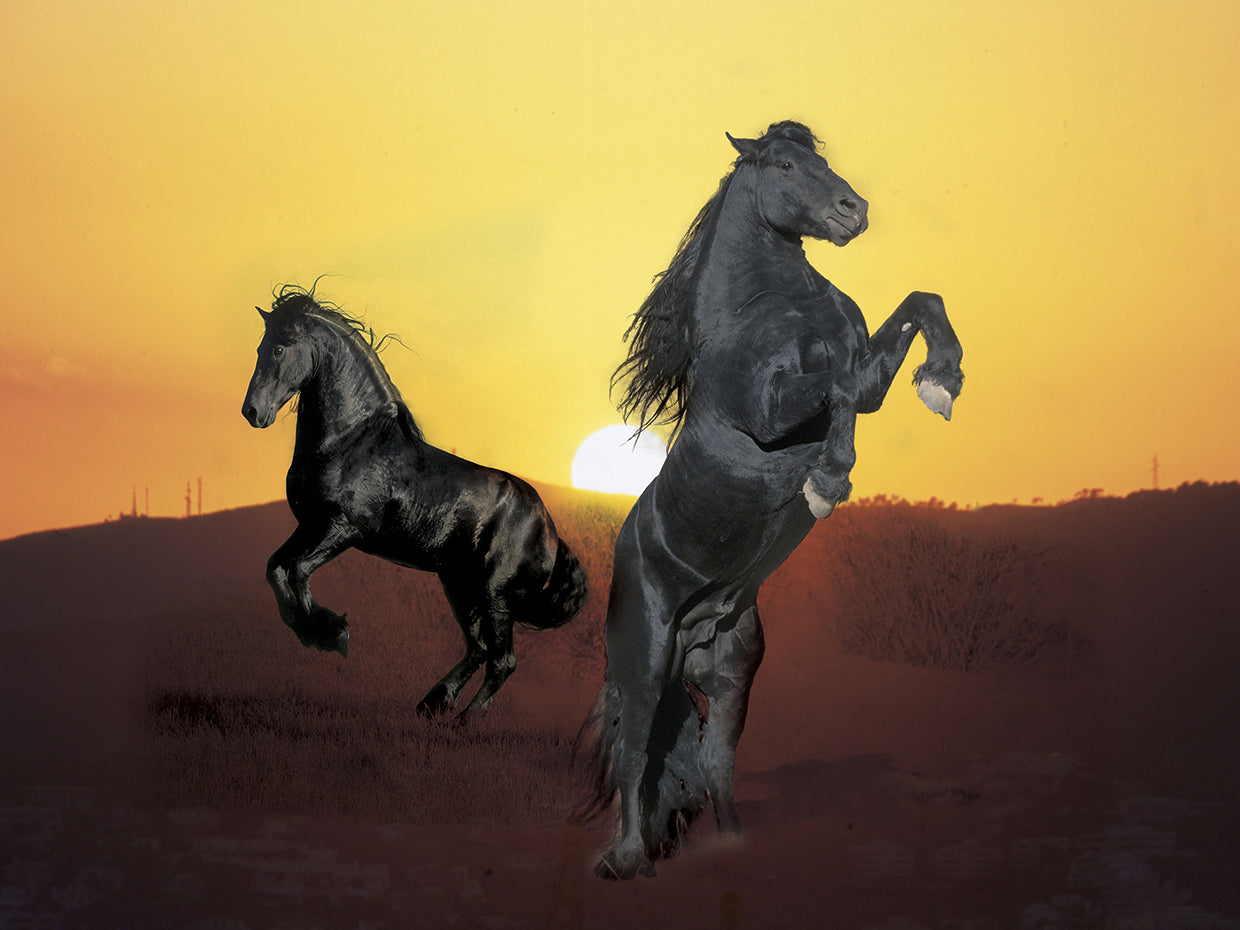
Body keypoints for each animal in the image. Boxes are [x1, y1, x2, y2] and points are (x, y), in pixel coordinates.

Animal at [241, 285, 589, 718]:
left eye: (279, 349)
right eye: (260, 346)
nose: (253, 412)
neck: (350, 440)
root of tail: (551, 533)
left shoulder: (342, 529)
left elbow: (299, 570)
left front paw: (331, 633)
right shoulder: (309, 526)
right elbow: (275, 568)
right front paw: (310, 630)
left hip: (496, 596)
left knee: (502, 660)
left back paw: (464, 721)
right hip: (459, 585)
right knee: (478, 648)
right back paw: (433, 703)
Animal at [580, 121, 964, 878]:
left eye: (821, 158)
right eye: (785, 164)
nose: (853, 211)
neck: (767, 313)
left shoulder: (869, 378)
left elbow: (920, 304)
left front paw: (943, 380)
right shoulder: (773, 409)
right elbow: (835, 391)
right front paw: (827, 484)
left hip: (732, 675)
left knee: (715, 761)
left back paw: (734, 847)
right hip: (643, 665)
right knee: (637, 754)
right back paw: (628, 859)